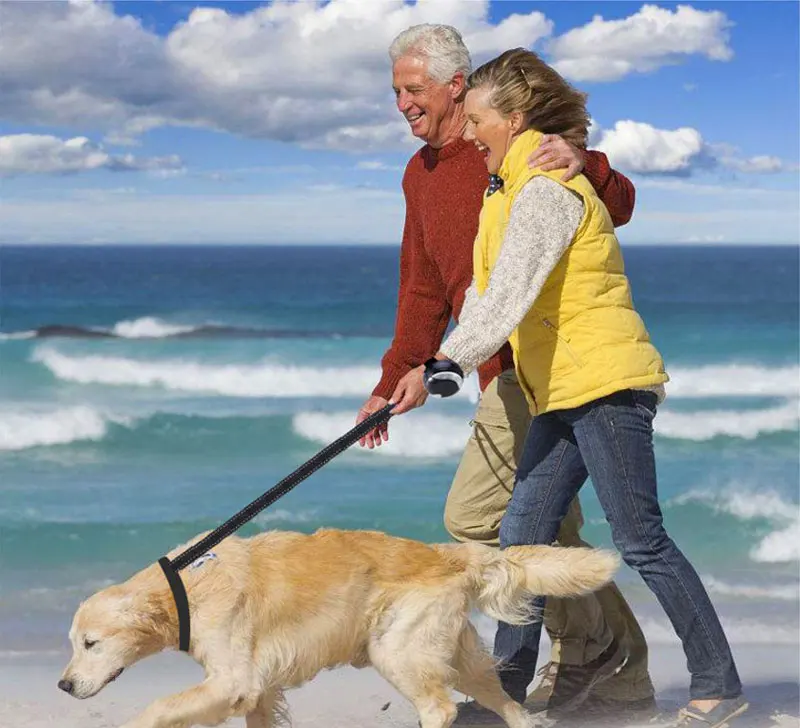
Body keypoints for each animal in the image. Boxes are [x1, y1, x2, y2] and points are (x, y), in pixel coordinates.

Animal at [59, 528, 620, 728]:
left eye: (91, 644)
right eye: (74, 644)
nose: (63, 685)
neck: (182, 585)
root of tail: (451, 554)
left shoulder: (234, 679)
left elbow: (158, 708)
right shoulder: (258, 688)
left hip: (397, 647)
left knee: (438, 708)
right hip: (452, 652)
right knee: (501, 698)